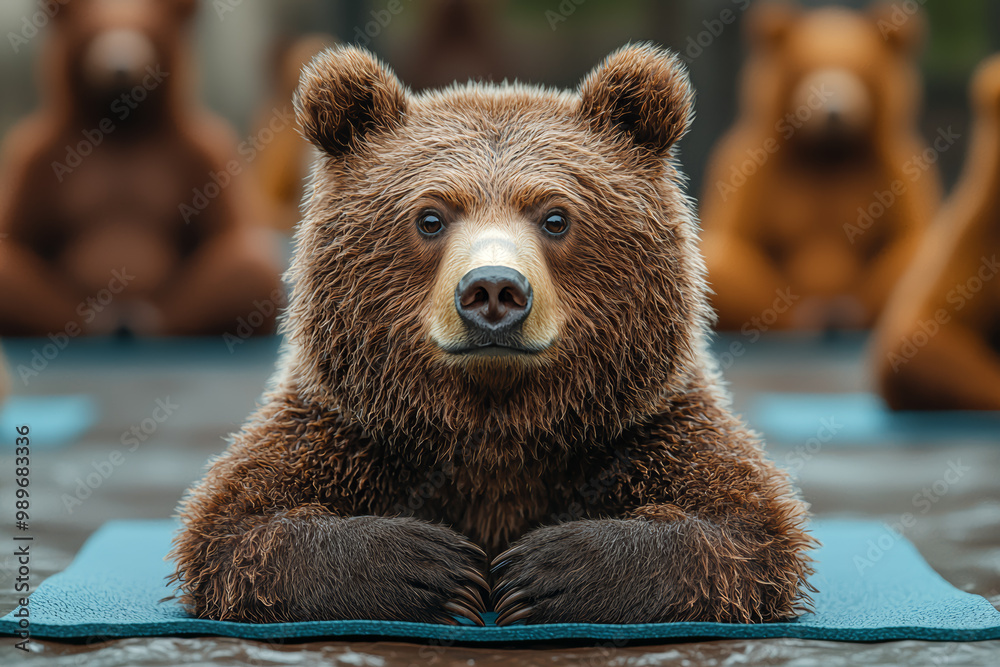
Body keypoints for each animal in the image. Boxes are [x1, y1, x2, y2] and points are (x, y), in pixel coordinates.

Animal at [0, 0, 284, 334]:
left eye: (147, 31)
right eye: (93, 31)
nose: (120, 64)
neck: (122, 128)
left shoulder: (207, 152)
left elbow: (229, 234)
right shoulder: (36, 154)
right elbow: (17, 237)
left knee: (253, 269)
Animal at [170, 44, 812, 628]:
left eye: (555, 217)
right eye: (430, 217)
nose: (494, 290)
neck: (494, 430)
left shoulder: (646, 427)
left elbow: (742, 528)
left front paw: (543, 571)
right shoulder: (345, 429)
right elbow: (238, 526)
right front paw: (435, 568)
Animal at [700, 1, 940, 332]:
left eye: (861, 69)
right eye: (804, 67)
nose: (833, 111)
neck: (826, 154)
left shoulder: (898, 168)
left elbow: (912, 231)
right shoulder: (749, 164)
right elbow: (738, 234)